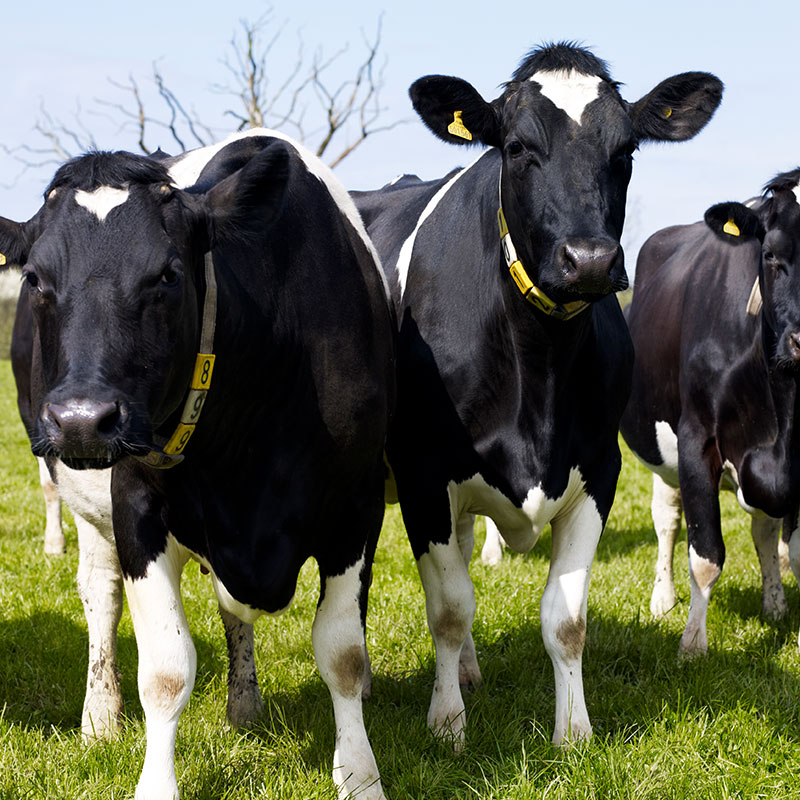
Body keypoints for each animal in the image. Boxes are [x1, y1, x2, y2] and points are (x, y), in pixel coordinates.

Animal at [0, 128, 395, 800]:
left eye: (167, 273)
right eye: (34, 278)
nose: (81, 419)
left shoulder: (355, 508)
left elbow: (343, 654)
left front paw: (361, 776)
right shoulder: (135, 510)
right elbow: (165, 670)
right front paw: (155, 783)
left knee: (233, 611)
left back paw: (245, 707)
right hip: (83, 503)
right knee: (99, 594)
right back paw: (99, 717)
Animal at [352, 42, 722, 748]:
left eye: (626, 150)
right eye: (519, 147)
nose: (590, 260)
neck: (539, 366)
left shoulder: (598, 469)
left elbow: (565, 620)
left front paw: (573, 730)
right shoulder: (422, 474)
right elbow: (448, 608)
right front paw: (447, 726)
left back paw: (470, 671)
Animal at [620, 169, 800, 657]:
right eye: (771, 255)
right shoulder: (696, 437)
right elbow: (705, 555)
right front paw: (692, 645)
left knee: (763, 529)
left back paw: (774, 604)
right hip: (662, 448)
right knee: (667, 518)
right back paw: (663, 598)